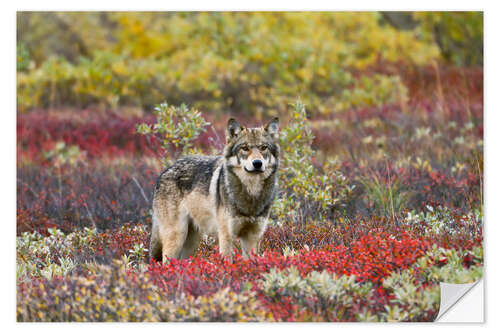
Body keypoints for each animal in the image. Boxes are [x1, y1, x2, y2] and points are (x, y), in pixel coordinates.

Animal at [150, 117, 280, 262]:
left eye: (263, 148)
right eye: (245, 148)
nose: (257, 163)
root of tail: (165, 170)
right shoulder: (226, 236)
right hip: (176, 237)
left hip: (191, 243)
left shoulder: (252, 237)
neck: (251, 194)